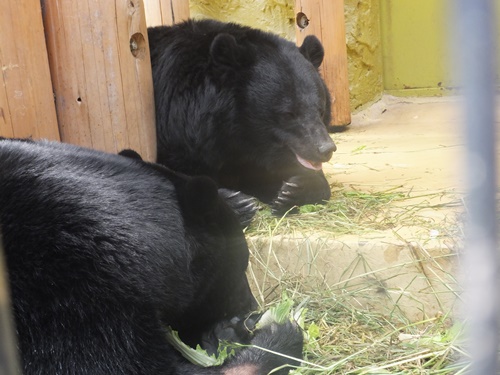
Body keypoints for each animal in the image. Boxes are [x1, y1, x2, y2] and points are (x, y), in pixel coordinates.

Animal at [147, 19, 336, 216]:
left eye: (321, 110)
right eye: (288, 114)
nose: (326, 149)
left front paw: (292, 190)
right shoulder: (176, 129)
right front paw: (236, 203)